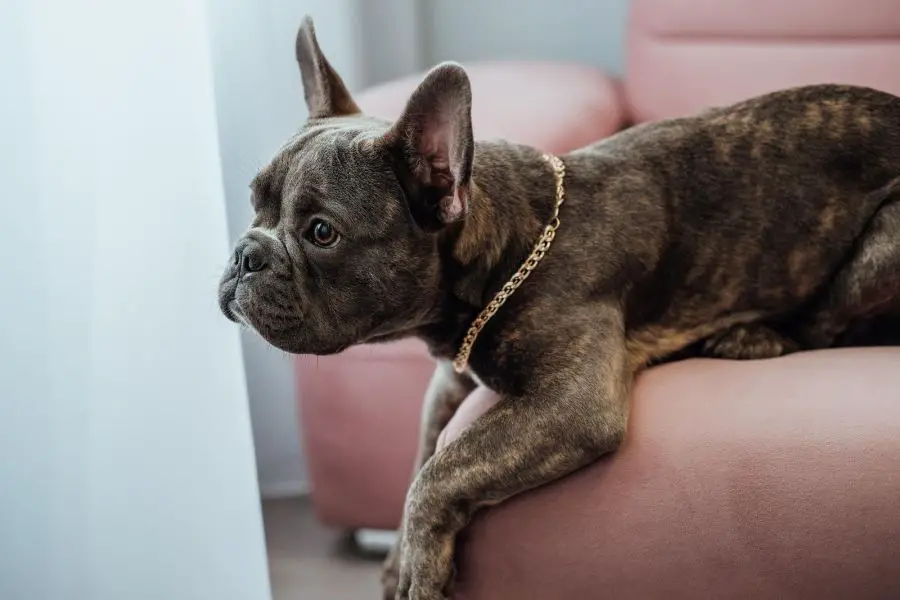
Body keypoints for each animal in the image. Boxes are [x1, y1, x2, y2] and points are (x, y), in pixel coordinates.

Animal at [220, 15, 900, 600]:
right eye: (254, 205)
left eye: (321, 233)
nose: (245, 253)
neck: (508, 249)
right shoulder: (449, 379)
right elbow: (423, 448)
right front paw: (395, 561)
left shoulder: (571, 402)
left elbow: (441, 470)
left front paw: (417, 565)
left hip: (880, 249)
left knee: (833, 326)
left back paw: (755, 336)